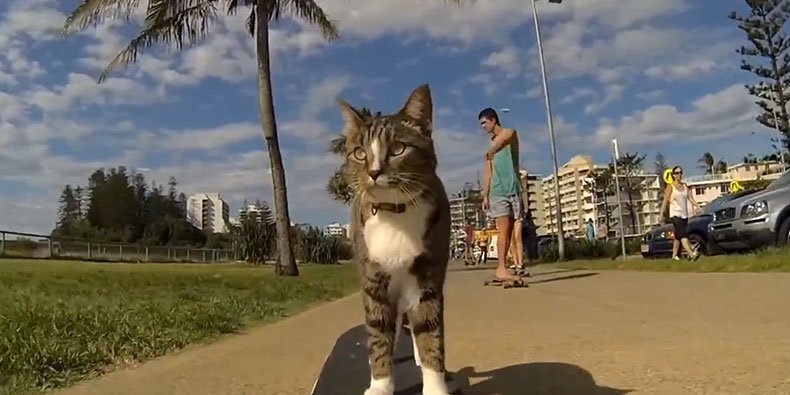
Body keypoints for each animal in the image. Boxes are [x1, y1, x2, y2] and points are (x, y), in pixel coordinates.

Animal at [338, 84, 454, 395]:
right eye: (359, 153)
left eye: (398, 149)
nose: (374, 172)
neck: (395, 213)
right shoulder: (374, 279)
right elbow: (379, 332)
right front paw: (380, 384)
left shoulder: (427, 276)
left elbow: (429, 331)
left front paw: (435, 385)